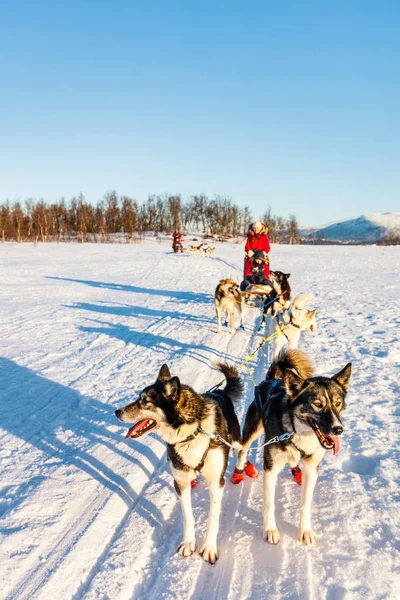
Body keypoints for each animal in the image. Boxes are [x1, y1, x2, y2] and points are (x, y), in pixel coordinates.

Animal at [114, 364, 242, 564]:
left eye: (145, 401)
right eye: (138, 398)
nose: (117, 412)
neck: (191, 432)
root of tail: (219, 392)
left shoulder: (216, 483)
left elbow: (212, 518)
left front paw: (209, 548)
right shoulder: (180, 482)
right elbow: (188, 515)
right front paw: (189, 543)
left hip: (235, 441)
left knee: (243, 450)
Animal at [234, 350, 350, 548]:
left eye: (338, 403)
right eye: (317, 404)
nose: (338, 429)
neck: (300, 432)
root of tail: (273, 379)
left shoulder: (312, 468)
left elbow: (305, 504)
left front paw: (305, 531)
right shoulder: (270, 468)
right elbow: (269, 504)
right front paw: (270, 530)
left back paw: (296, 471)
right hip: (252, 432)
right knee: (242, 450)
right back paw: (239, 471)